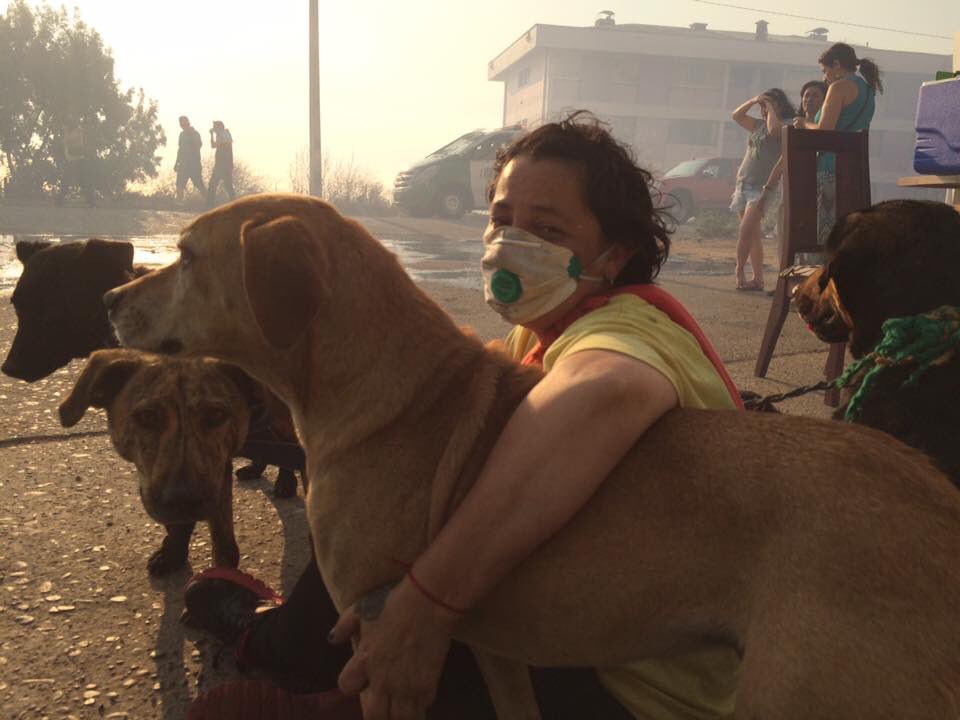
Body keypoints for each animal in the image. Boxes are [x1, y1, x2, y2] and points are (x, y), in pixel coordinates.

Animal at [58, 346, 256, 576]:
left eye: (216, 414)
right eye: (147, 416)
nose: (184, 500)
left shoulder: (220, 476)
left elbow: (222, 543)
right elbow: (178, 526)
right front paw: (173, 552)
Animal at [103, 194, 960, 716]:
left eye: (186, 254)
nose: (110, 299)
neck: (389, 391)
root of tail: (935, 502)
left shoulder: (382, 647)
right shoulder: (489, 649)